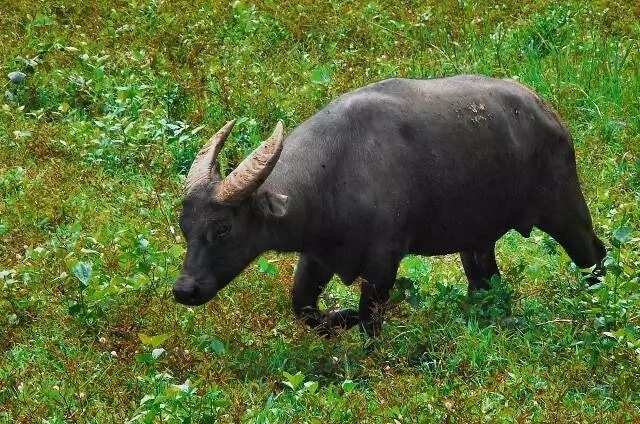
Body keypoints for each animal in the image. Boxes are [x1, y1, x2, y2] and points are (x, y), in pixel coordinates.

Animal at [174, 74, 604, 336]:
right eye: (185, 227)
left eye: (223, 228)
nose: (184, 290)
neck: (336, 171)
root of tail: (548, 114)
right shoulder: (317, 256)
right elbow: (304, 307)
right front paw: (340, 316)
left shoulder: (385, 260)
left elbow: (369, 318)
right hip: (476, 241)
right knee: (484, 281)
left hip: (565, 210)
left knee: (594, 252)